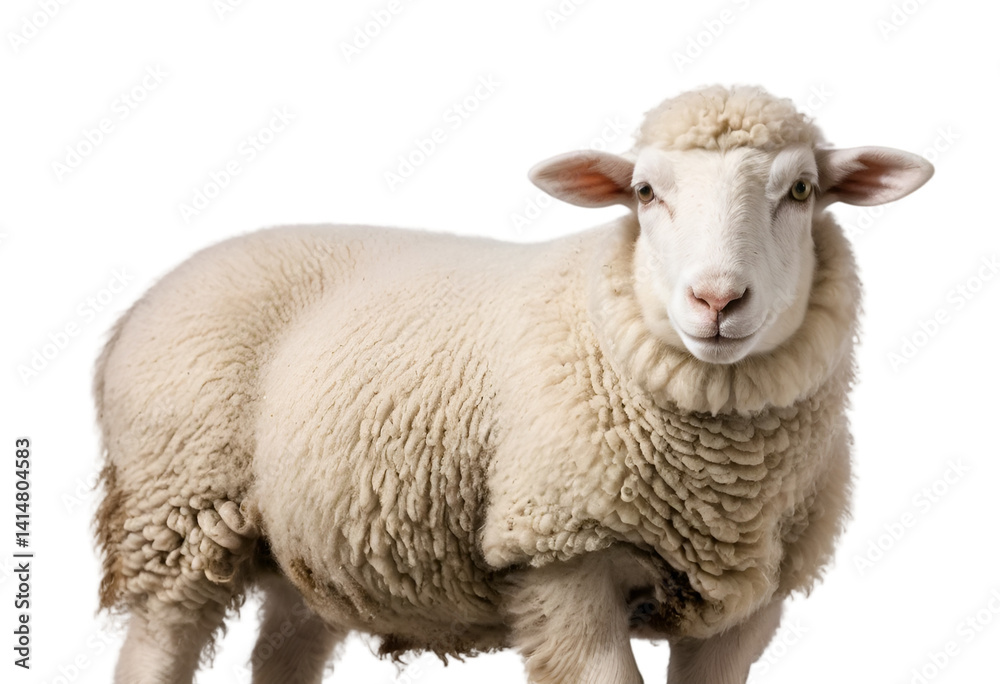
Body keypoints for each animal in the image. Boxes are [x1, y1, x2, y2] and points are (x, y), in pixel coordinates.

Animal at [94, 84, 933, 684]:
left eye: (801, 191)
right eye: (645, 193)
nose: (717, 300)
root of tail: (141, 303)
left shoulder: (748, 609)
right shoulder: (558, 556)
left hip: (303, 546)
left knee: (282, 654)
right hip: (179, 509)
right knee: (156, 649)